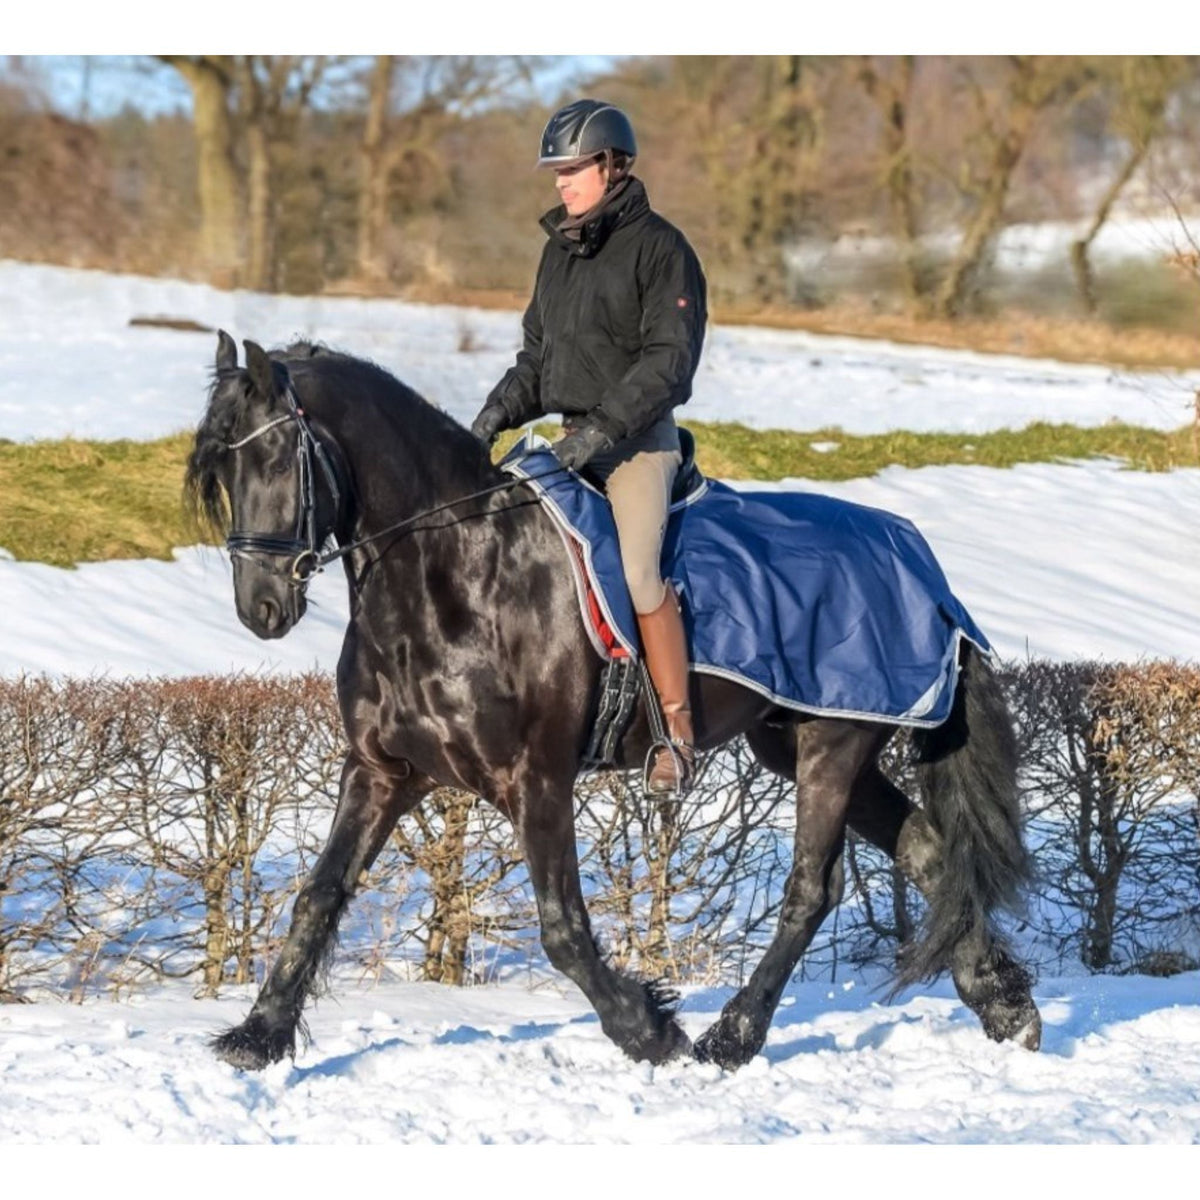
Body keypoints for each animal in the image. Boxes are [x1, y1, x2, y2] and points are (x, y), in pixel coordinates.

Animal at [187, 332, 1042, 1072]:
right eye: (221, 472)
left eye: (274, 455)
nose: (260, 608)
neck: (452, 571)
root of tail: (921, 567)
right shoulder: (381, 771)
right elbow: (318, 896)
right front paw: (257, 1036)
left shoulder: (536, 779)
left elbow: (563, 930)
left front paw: (648, 1028)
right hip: (802, 743)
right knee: (927, 849)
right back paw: (1006, 1007)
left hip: (833, 743)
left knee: (812, 889)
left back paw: (731, 1037)